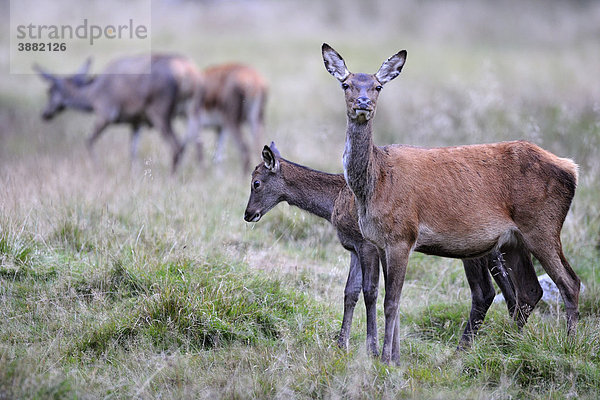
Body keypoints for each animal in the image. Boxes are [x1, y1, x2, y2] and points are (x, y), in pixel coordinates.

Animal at [35, 53, 204, 172]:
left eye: (49, 91)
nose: (44, 114)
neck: (92, 97)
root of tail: (188, 73)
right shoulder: (136, 121)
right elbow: (133, 151)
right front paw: (134, 173)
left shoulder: (106, 112)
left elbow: (89, 140)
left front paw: (97, 168)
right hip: (191, 110)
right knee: (198, 143)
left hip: (159, 110)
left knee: (177, 145)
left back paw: (172, 175)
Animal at [244, 142, 540, 354]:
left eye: (256, 183)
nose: (248, 214)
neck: (333, 202)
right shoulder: (354, 248)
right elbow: (350, 292)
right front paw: (342, 345)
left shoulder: (368, 245)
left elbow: (370, 292)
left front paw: (372, 349)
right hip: (495, 249)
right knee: (511, 292)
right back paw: (505, 341)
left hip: (475, 248)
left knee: (488, 292)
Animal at [324, 43, 580, 366]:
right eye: (345, 84)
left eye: (378, 86)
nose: (363, 102)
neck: (376, 182)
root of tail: (572, 169)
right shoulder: (380, 242)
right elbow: (387, 297)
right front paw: (393, 356)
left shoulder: (403, 235)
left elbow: (391, 301)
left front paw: (387, 360)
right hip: (514, 240)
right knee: (530, 291)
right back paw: (510, 347)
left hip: (543, 227)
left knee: (569, 283)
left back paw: (569, 347)